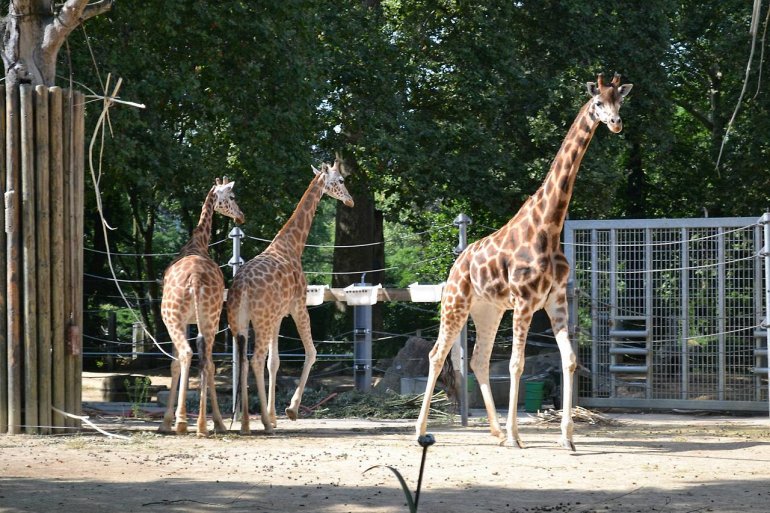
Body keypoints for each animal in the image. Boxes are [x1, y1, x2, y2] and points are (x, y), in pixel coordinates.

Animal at [160, 177, 246, 436]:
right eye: (232, 197)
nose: (241, 216)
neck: (197, 243)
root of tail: (196, 279)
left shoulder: (182, 321)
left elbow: (174, 364)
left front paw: (166, 421)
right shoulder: (197, 321)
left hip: (173, 318)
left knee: (189, 355)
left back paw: (183, 422)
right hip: (210, 317)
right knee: (207, 362)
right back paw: (206, 424)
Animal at [224, 159, 352, 432]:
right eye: (341, 180)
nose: (350, 201)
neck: (292, 245)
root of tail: (242, 286)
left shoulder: (278, 317)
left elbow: (274, 362)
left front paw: (274, 414)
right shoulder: (298, 308)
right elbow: (311, 352)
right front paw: (290, 410)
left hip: (241, 322)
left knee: (242, 361)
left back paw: (244, 422)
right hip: (260, 321)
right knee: (255, 359)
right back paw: (261, 422)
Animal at [414, 72, 632, 448]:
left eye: (620, 100)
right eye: (597, 102)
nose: (616, 123)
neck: (549, 226)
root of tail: (456, 264)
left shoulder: (554, 300)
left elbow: (570, 361)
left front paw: (567, 439)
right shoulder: (526, 301)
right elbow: (516, 364)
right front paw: (519, 436)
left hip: (488, 310)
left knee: (479, 359)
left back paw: (497, 432)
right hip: (455, 304)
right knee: (437, 354)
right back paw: (422, 429)